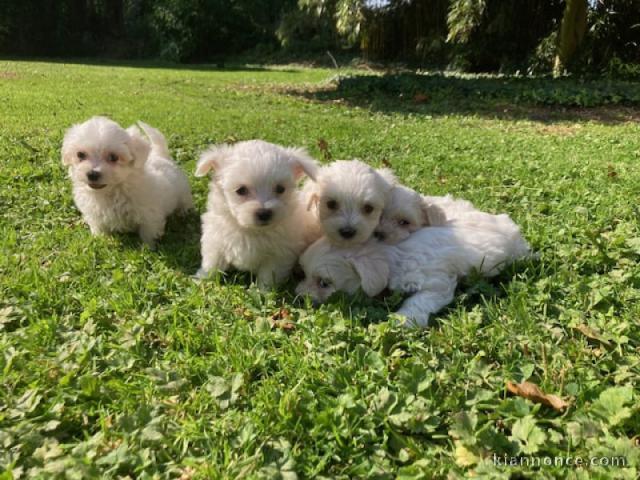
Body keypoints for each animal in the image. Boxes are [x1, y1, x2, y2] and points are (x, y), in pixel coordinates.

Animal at [62, 116, 192, 248]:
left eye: (113, 157)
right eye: (80, 154)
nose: (92, 174)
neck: (112, 191)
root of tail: (161, 156)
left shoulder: (149, 215)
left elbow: (148, 232)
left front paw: (148, 247)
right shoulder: (94, 213)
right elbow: (99, 227)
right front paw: (100, 239)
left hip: (183, 191)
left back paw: (183, 212)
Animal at [194, 139, 316, 288]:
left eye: (280, 189)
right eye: (241, 190)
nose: (264, 213)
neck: (251, 230)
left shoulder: (278, 255)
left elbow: (268, 276)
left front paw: (261, 291)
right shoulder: (215, 240)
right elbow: (212, 262)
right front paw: (202, 279)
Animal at [298, 216, 528, 328]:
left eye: (324, 283)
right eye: (303, 273)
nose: (299, 296)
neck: (391, 256)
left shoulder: (436, 282)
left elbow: (418, 300)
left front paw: (404, 320)